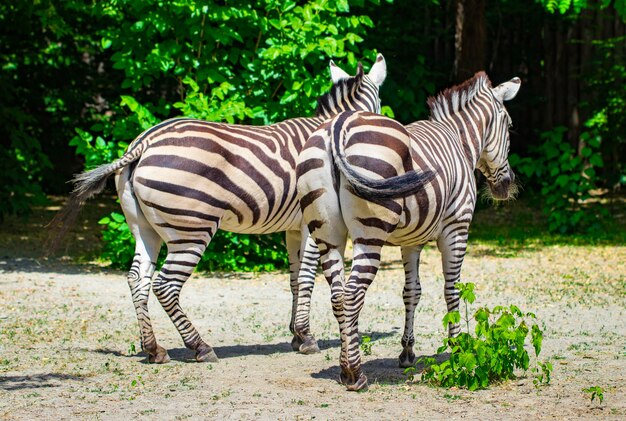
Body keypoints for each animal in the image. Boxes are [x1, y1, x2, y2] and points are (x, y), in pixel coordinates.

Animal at [51, 55, 386, 364]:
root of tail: (143, 144)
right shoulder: (311, 222)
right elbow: (305, 278)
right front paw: (306, 337)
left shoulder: (291, 228)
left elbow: (292, 279)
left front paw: (296, 335)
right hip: (191, 229)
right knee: (165, 285)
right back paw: (200, 347)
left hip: (144, 229)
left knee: (138, 278)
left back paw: (154, 349)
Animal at [294, 70, 520, 388]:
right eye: (509, 126)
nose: (506, 186)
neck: (459, 140)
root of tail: (339, 125)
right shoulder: (456, 228)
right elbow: (452, 290)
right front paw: (457, 348)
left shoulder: (411, 240)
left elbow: (411, 292)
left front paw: (407, 352)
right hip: (369, 233)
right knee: (352, 294)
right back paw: (355, 374)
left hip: (327, 234)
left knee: (338, 295)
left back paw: (343, 368)